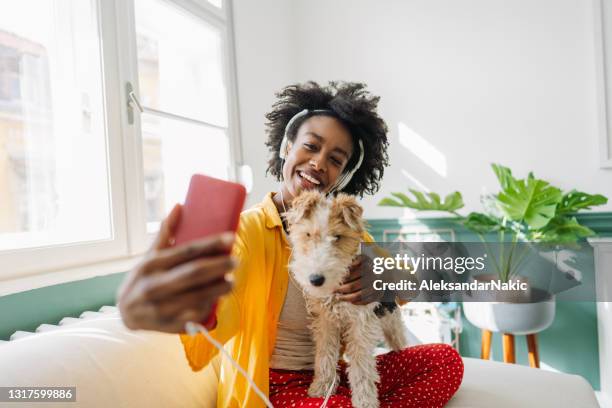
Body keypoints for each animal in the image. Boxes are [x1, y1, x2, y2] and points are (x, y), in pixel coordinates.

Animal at [284, 191, 408, 408]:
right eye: (308, 235)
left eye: (337, 237)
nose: (316, 280)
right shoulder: (325, 322)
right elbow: (325, 356)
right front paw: (321, 388)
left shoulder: (361, 324)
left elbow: (361, 366)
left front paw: (365, 400)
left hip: (392, 325)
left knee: (399, 343)